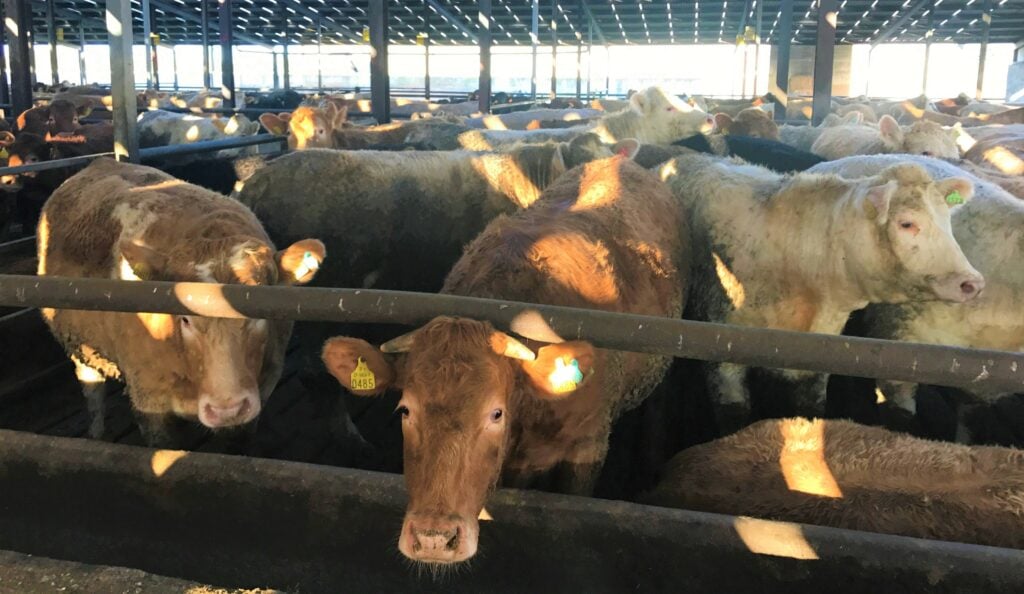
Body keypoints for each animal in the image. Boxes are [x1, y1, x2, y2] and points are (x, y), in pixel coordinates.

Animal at [37, 159, 325, 445]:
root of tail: (99, 162)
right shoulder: (149, 403)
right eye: (184, 318)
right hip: (79, 348)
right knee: (93, 393)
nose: (227, 410)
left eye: (258, 313)